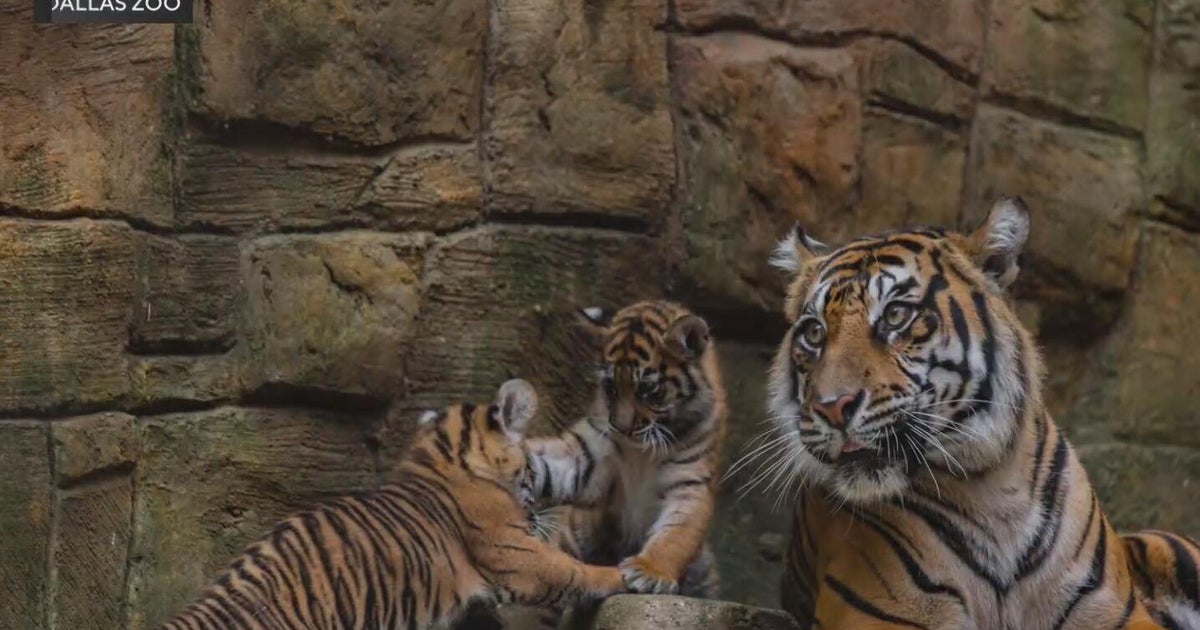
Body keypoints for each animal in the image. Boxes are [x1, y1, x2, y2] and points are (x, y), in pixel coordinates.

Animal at [156, 379, 626, 630]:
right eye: (530, 463)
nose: (536, 517)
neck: (443, 454)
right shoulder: (515, 554)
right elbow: (571, 569)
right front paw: (626, 574)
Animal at [525, 300, 729, 604]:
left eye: (649, 389)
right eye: (610, 387)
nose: (622, 428)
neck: (641, 450)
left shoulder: (689, 483)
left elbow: (676, 534)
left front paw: (650, 571)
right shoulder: (587, 458)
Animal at [757, 195, 1200, 629]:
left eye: (896, 315)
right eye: (814, 333)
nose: (832, 407)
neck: (992, 488)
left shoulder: (1115, 611)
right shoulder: (881, 613)